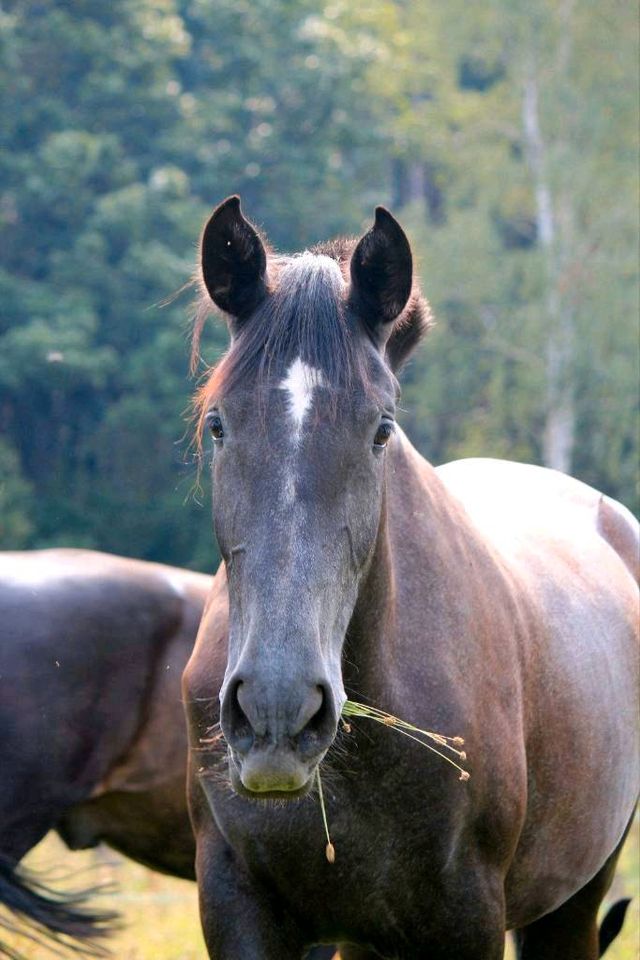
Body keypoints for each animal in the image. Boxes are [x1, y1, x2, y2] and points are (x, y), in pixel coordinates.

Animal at [182, 197, 636, 960]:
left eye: (381, 431)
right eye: (218, 424)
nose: (278, 713)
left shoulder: (467, 919)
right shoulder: (237, 902)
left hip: (572, 904)